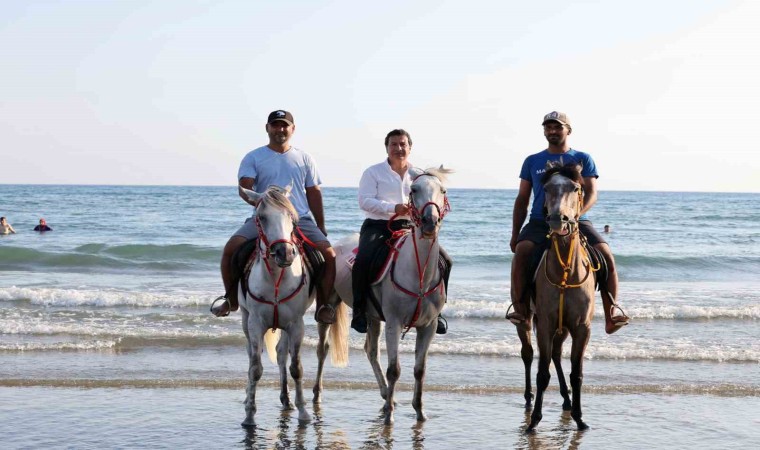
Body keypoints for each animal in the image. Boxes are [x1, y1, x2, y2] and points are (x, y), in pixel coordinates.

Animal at [238, 185, 348, 426]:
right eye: (261, 217)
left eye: (292, 218)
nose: (285, 253)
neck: (276, 278)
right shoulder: (255, 323)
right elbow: (255, 368)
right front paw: (249, 414)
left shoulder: (296, 324)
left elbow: (296, 367)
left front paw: (304, 412)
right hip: (245, 318)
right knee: (254, 355)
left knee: (281, 354)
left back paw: (287, 399)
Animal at [314, 166, 454, 426]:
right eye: (414, 190)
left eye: (443, 190)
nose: (430, 222)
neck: (418, 273)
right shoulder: (394, 323)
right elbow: (394, 370)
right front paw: (389, 416)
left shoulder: (428, 326)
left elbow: (420, 370)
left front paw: (420, 412)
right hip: (330, 306)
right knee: (323, 348)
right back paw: (317, 394)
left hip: (372, 316)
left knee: (370, 351)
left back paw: (386, 394)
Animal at [524, 162, 596, 432]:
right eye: (545, 188)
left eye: (575, 188)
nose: (558, 219)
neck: (565, 271)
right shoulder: (545, 324)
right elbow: (542, 373)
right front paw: (534, 419)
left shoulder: (581, 327)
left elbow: (577, 373)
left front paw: (580, 418)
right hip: (528, 321)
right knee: (528, 354)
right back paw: (528, 398)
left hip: (563, 328)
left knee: (555, 355)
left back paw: (567, 400)